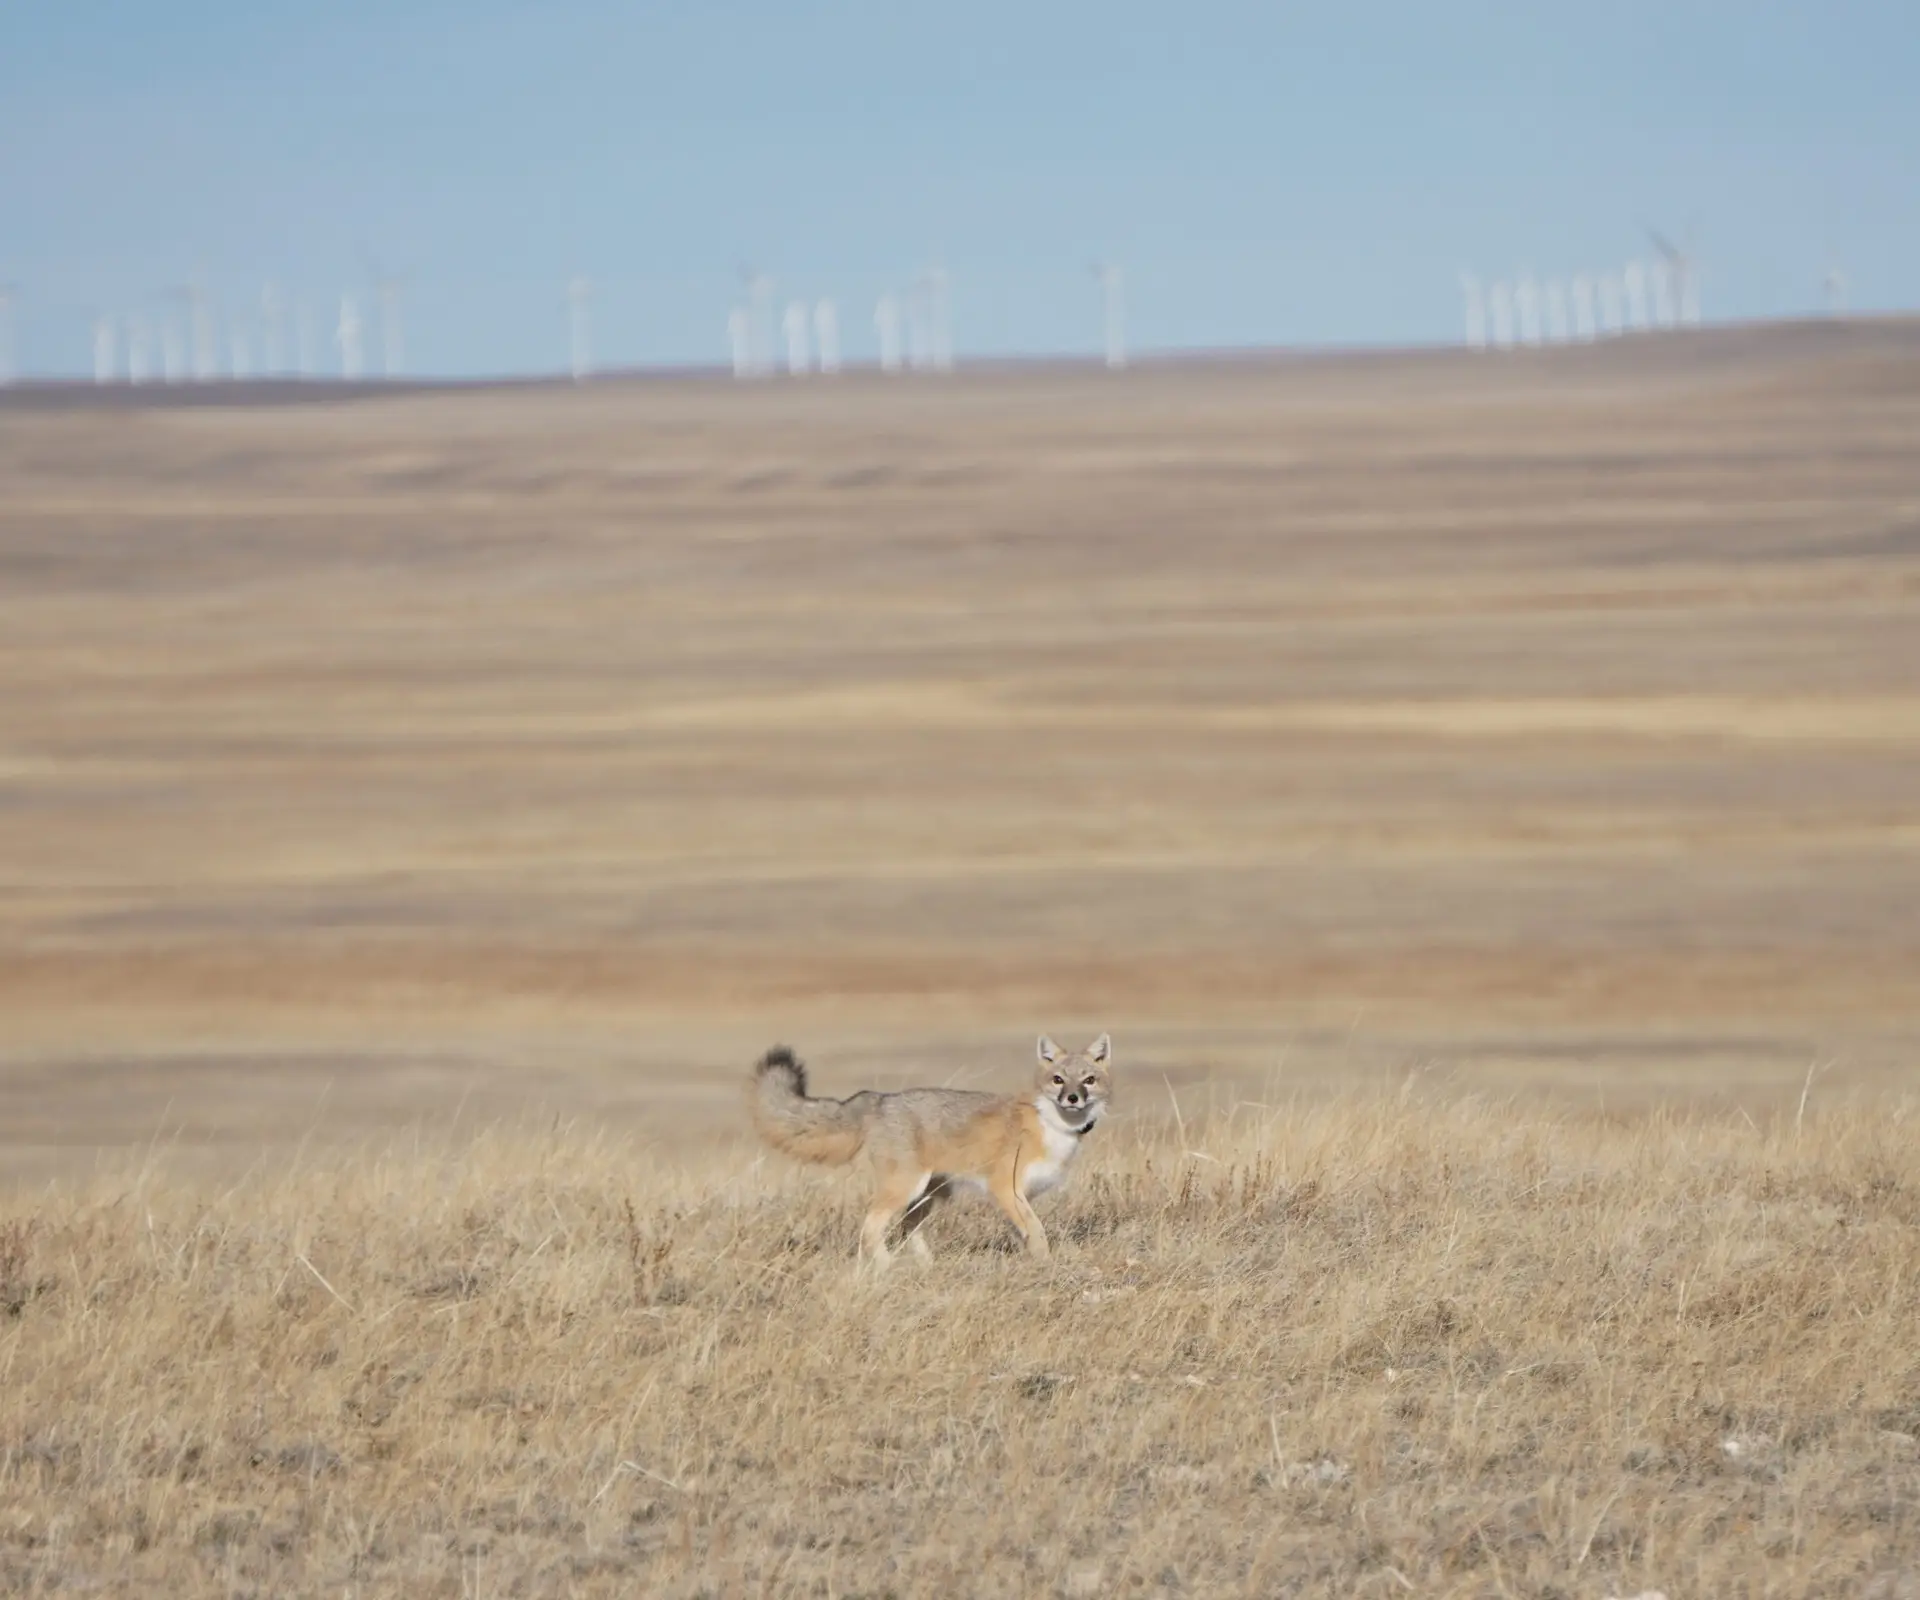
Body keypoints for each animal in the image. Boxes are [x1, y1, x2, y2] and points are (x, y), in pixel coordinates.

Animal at [750, 1034, 1113, 1266]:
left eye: (1089, 1080)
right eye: (1058, 1079)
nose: (1072, 1098)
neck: (1052, 1126)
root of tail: (879, 1098)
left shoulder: (1016, 1197)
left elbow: (1024, 1232)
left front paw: (1033, 1262)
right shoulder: (1004, 1188)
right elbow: (1037, 1231)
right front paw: (1047, 1263)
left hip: (930, 1195)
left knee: (906, 1228)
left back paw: (926, 1264)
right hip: (906, 1188)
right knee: (870, 1228)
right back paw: (888, 1266)